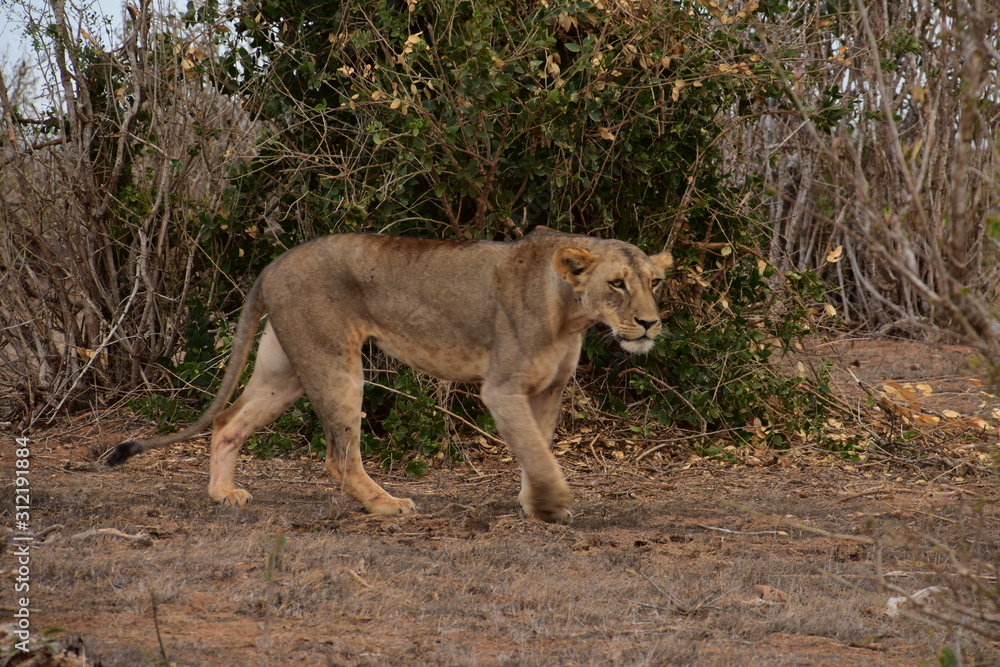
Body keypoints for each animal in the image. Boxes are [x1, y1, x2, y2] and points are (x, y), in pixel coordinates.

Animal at [107, 227, 672, 522]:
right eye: (617, 284)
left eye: (653, 282)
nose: (650, 323)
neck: (570, 312)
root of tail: (274, 263)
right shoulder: (502, 388)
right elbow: (536, 449)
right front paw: (552, 506)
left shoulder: (548, 390)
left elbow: (540, 447)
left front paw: (532, 502)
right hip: (335, 363)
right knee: (339, 457)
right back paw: (386, 504)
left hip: (284, 369)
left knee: (228, 422)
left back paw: (223, 495)